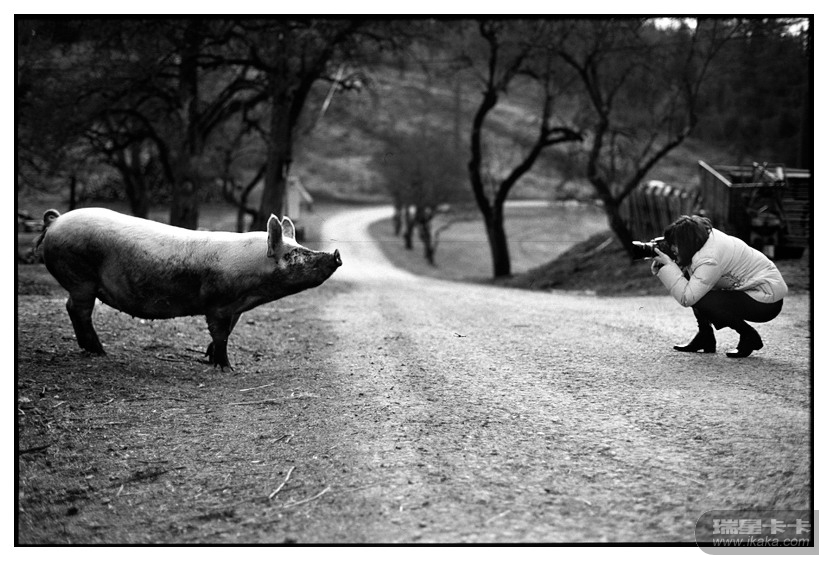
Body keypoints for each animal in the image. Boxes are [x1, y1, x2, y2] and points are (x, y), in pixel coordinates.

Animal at [35, 207, 341, 370]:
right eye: (293, 254)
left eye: (300, 246)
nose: (336, 254)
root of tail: (55, 221)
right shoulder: (218, 303)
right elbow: (220, 334)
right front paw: (226, 367)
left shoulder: (236, 308)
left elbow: (227, 332)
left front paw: (210, 358)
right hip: (80, 278)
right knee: (77, 310)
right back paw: (100, 352)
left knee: (73, 309)